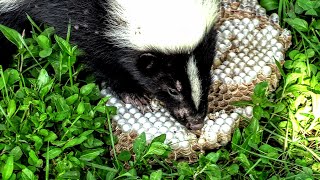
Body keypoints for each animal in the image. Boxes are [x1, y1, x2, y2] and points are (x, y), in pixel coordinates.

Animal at [0, 0, 220, 129]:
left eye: (206, 75)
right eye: (171, 90)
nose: (196, 122)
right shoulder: (84, 18)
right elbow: (99, 57)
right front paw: (134, 94)